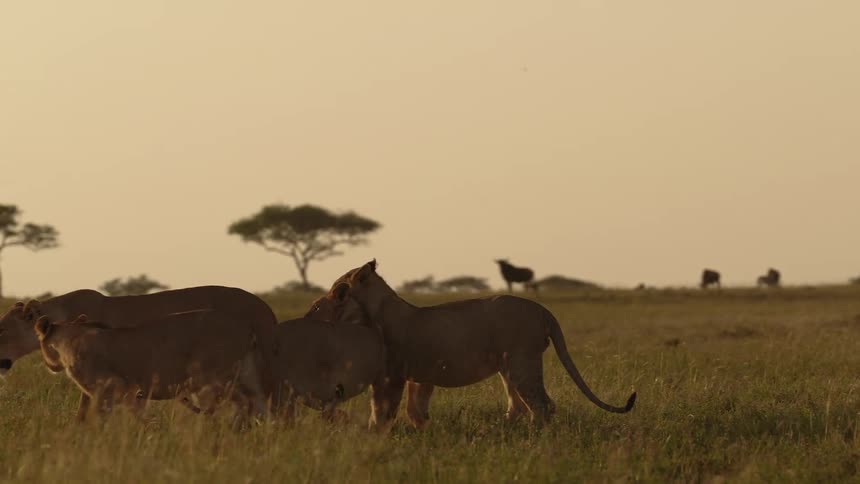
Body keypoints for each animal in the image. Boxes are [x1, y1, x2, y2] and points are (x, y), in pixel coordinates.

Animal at [33, 310, 268, 423]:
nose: (49, 365)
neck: (70, 338)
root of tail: (247, 327)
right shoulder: (129, 393)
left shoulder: (110, 388)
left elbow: (96, 418)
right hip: (243, 375)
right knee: (258, 401)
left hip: (214, 379)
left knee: (242, 403)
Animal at [330, 260, 636, 430]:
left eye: (337, 289)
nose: (327, 296)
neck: (375, 311)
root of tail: (542, 310)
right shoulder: (422, 374)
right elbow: (416, 408)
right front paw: (423, 428)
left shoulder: (394, 373)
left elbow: (383, 409)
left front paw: (375, 432)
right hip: (508, 366)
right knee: (518, 405)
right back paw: (500, 430)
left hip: (521, 362)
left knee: (541, 405)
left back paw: (532, 437)